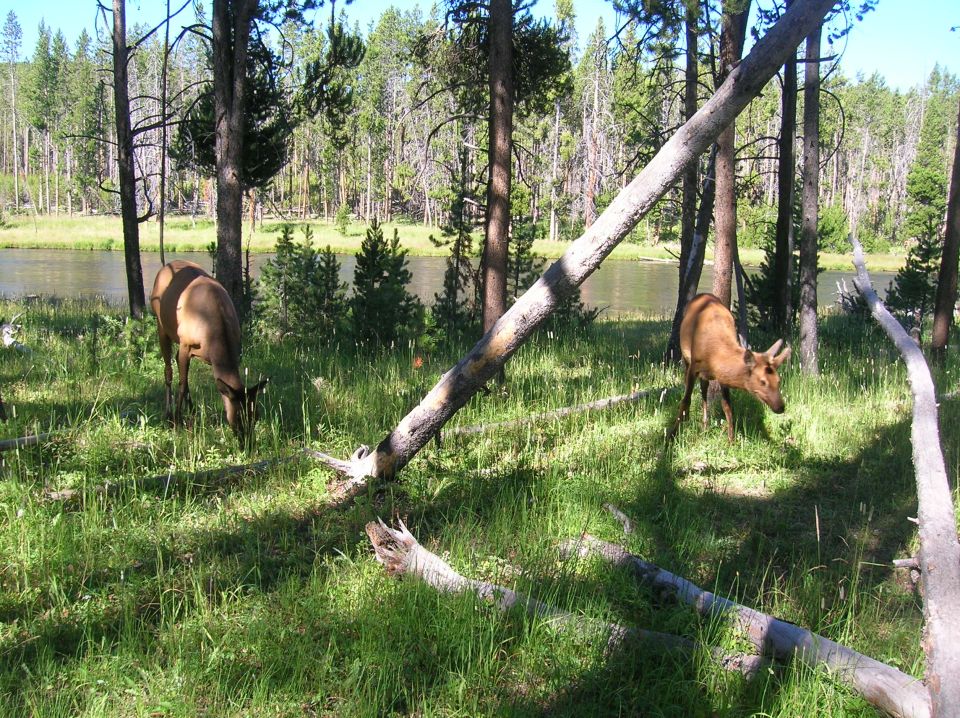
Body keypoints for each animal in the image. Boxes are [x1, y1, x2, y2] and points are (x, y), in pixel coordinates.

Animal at [151, 260, 267, 444]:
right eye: (237, 417)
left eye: (256, 416)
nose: (249, 445)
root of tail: (165, 266)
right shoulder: (185, 343)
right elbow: (181, 384)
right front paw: (177, 421)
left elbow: (186, 380)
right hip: (161, 325)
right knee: (168, 370)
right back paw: (169, 414)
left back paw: (192, 410)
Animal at [668, 293, 791, 443]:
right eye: (763, 381)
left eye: (778, 381)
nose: (781, 407)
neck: (714, 355)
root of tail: (703, 294)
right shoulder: (694, 366)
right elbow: (686, 401)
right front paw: (671, 436)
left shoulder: (722, 377)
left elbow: (727, 407)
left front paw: (731, 440)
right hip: (686, 358)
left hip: (704, 375)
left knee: (704, 390)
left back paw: (705, 425)